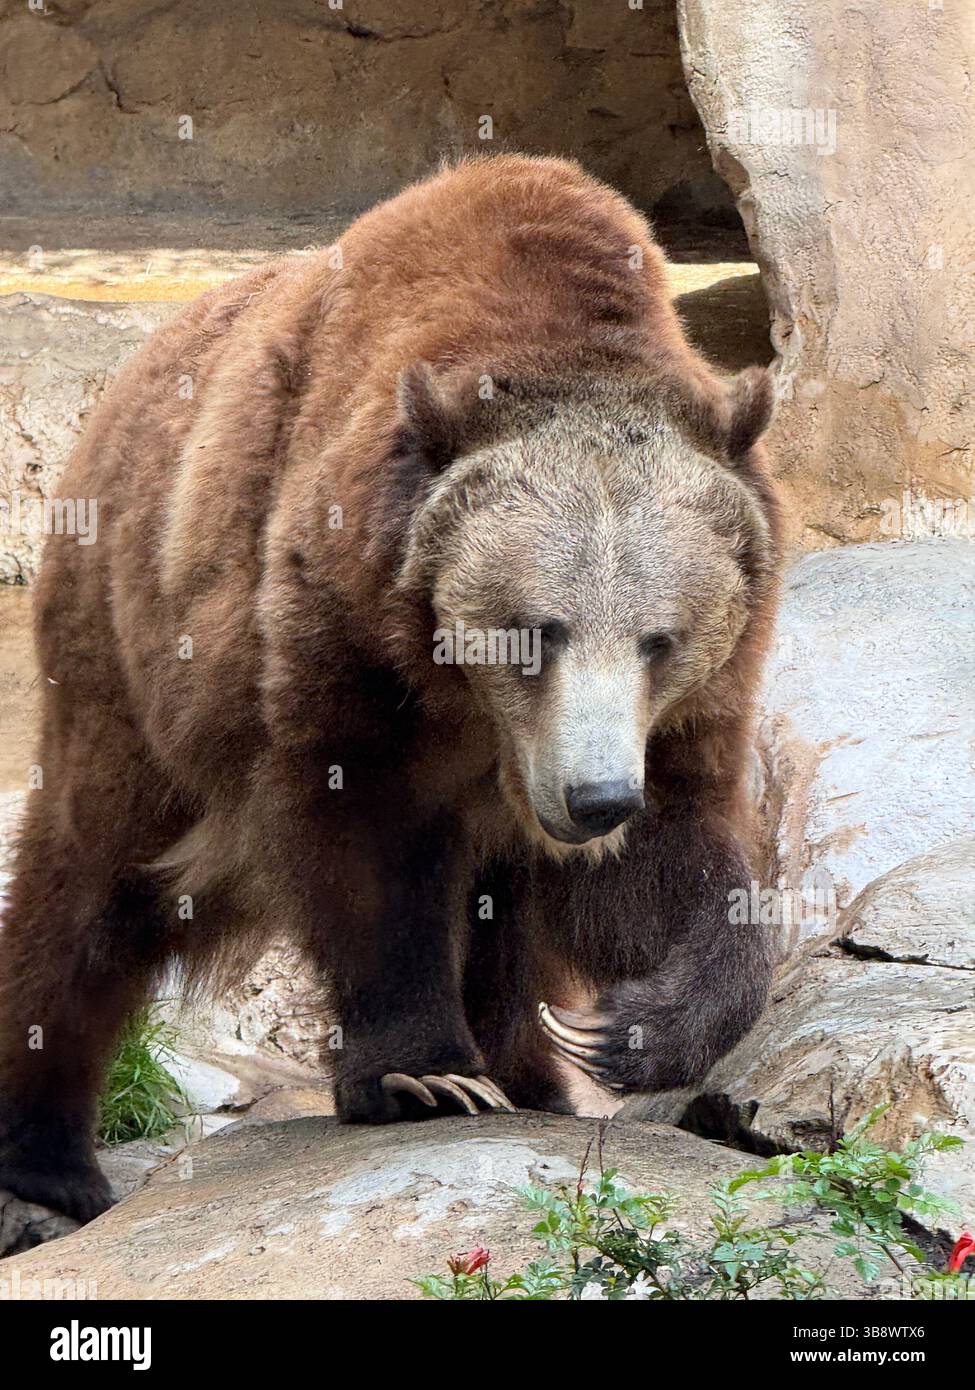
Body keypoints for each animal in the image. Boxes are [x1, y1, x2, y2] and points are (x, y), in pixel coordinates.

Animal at [0, 154, 782, 1224]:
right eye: (536, 632)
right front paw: (423, 1074)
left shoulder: (665, 720)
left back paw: (532, 1074)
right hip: (129, 648)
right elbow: (365, 845)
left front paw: (630, 1030)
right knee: (90, 882)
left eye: (658, 639)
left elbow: (671, 854)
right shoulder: (341, 636)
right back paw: (47, 1162)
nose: (594, 799)